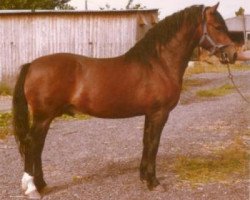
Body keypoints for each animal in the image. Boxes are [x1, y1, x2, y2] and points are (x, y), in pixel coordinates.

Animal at [12, 3, 237, 198]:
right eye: (218, 26)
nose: (233, 54)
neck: (158, 64)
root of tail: (32, 64)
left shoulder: (149, 114)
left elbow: (146, 142)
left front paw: (143, 177)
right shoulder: (159, 113)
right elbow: (154, 143)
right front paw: (153, 182)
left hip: (45, 118)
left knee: (37, 146)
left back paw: (41, 184)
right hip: (43, 117)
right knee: (32, 145)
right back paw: (32, 188)